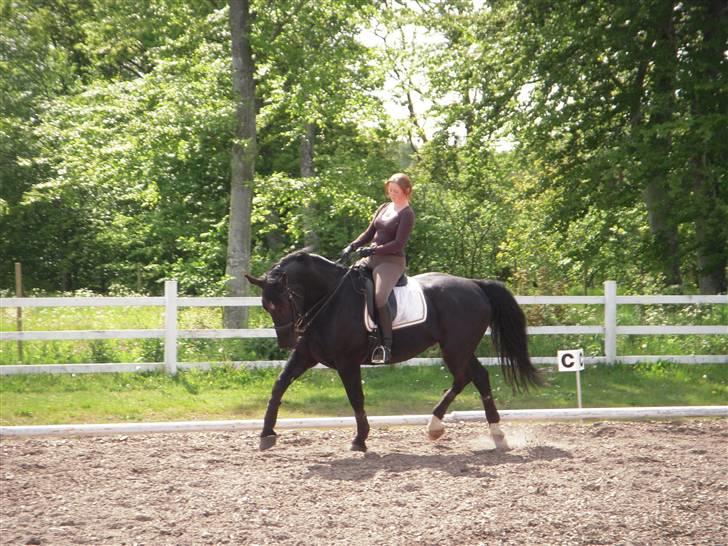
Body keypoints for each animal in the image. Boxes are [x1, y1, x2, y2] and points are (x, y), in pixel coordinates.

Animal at [245, 249, 540, 448]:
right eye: (266, 306)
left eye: (284, 302)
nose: (286, 341)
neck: (329, 299)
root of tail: (475, 285)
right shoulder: (306, 355)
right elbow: (279, 385)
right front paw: (267, 434)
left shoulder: (347, 362)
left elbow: (356, 398)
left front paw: (360, 439)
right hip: (460, 348)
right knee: (476, 377)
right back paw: (483, 432)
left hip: (456, 348)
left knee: (465, 377)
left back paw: (453, 428)